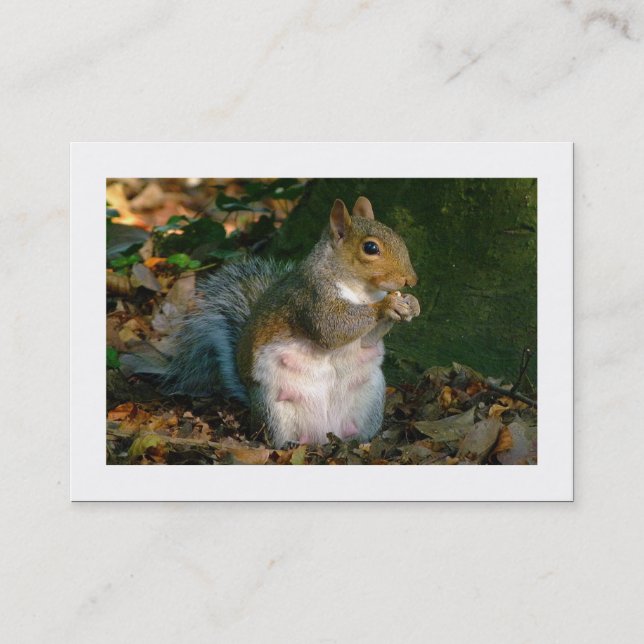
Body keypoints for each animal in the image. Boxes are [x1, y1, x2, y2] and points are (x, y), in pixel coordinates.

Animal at [162, 197, 420, 448]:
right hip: (273, 406)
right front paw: (387, 305)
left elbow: (367, 340)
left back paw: (358, 441)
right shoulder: (312, 296)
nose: (412, 280)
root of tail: (324, 433)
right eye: (370, 248)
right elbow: (331, 328)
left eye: (397, 236)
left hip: (371, 395)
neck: (362, 292)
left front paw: (412, 304)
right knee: (273, 436)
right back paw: (289, 444)